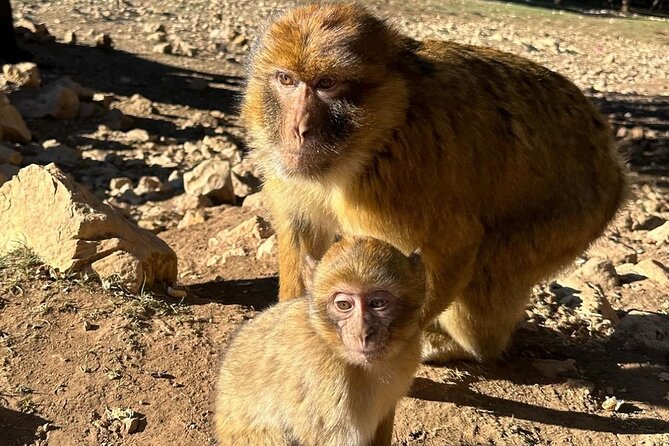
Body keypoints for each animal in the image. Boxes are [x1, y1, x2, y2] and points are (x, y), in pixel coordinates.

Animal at [241, 2, 628, 362]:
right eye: (286, 80)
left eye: (326, 84)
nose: (299, 129)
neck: (379, 134)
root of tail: (612, 158)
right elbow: (302, 233)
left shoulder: (396, 182)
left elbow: (455, 244)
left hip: (570, 218)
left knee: (486, 278)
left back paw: (463, 347)